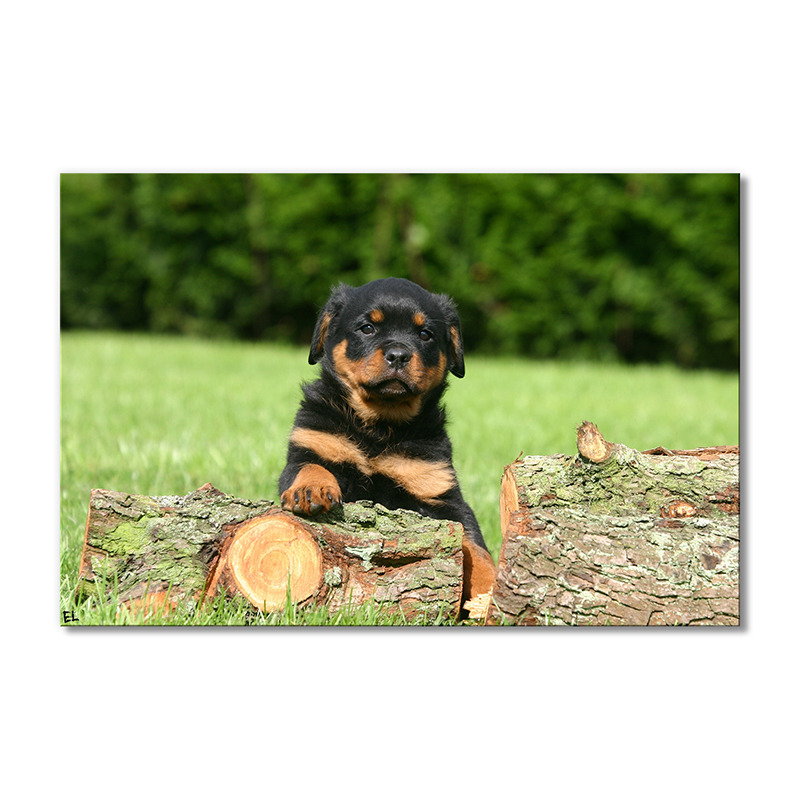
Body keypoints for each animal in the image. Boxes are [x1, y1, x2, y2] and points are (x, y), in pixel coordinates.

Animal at [279, 277, 496, 601]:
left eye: (425, 334)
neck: (380, 426)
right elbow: (309, 466)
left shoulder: (438, 490)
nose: (398, 355)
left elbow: (474, 545)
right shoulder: (310, 444)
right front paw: (310, 490)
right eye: (367, 328)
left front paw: (492, 587)